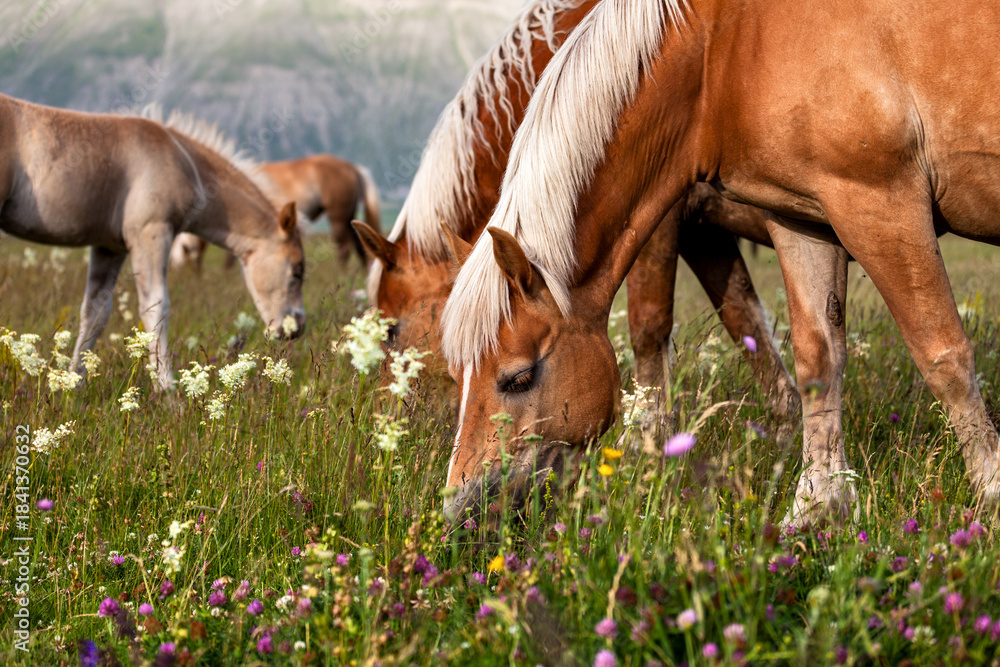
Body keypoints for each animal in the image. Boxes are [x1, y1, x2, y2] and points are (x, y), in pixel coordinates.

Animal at [0, 94, 306, 390]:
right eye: (296, 270)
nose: (296, 329)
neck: (184, 161)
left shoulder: (109, 247)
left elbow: (95, 313)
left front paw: (73, 385)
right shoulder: (151, 233)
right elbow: (156, 308)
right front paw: (167, 390)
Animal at [171, 154, 381, 271]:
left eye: (183, 254)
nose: (193, 274)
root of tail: (353, 168)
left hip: (338, 215)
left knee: (343, 247)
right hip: (349, 216)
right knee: (358, 246)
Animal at [354, 0, 797, 425]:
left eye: (391, 331)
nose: (383, 418)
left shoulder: (661, 228)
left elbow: (649, 333)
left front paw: (649, 441)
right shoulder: (703, 232)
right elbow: (750, 329)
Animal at [439, 0, 1000, 523]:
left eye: (518, 378)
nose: (460, 508)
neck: (724, 48)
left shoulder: (880, 203)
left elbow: (942, 355)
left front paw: (992, 493)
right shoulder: (803, 217)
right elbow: (815, 357)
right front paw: (816, 506)